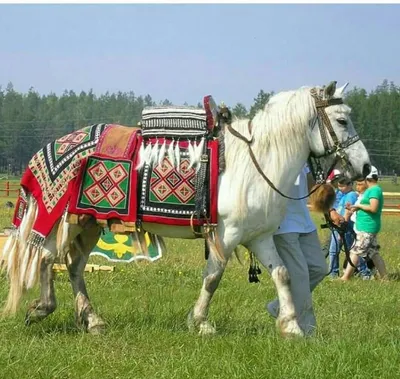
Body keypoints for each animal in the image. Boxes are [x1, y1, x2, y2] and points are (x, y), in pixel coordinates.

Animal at [0, 81, 370, 336]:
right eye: (341, 120)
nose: (366, 168)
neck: (256, 163)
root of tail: (52, 146)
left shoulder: (259, 236)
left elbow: (282, 274)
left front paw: (291, 325)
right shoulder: (226, 234)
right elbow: (213, 277)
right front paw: (201, 322)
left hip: (90, 221)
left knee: (74, 266)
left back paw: (92, 320)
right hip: (65, 219)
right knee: (47, 258)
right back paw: (42, 308)